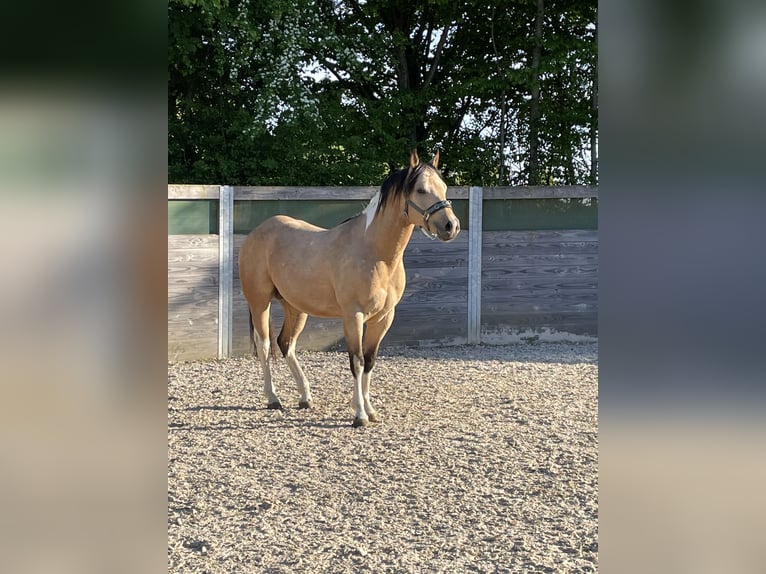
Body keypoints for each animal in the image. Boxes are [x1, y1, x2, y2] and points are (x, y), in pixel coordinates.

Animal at [238, 149, 460, 427]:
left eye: (444, 187)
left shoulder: (383, 318)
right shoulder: (353, 316)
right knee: (265, 345)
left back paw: (305, 397)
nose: (451, 226)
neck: (375, 253)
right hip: (260, 302)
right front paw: (359, 415)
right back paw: (272, 398)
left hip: (296, 308)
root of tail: (256, 233)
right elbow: (357, 360)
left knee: (286, 343)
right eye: (420, 190)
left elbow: (370, 361)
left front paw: (371, 410)